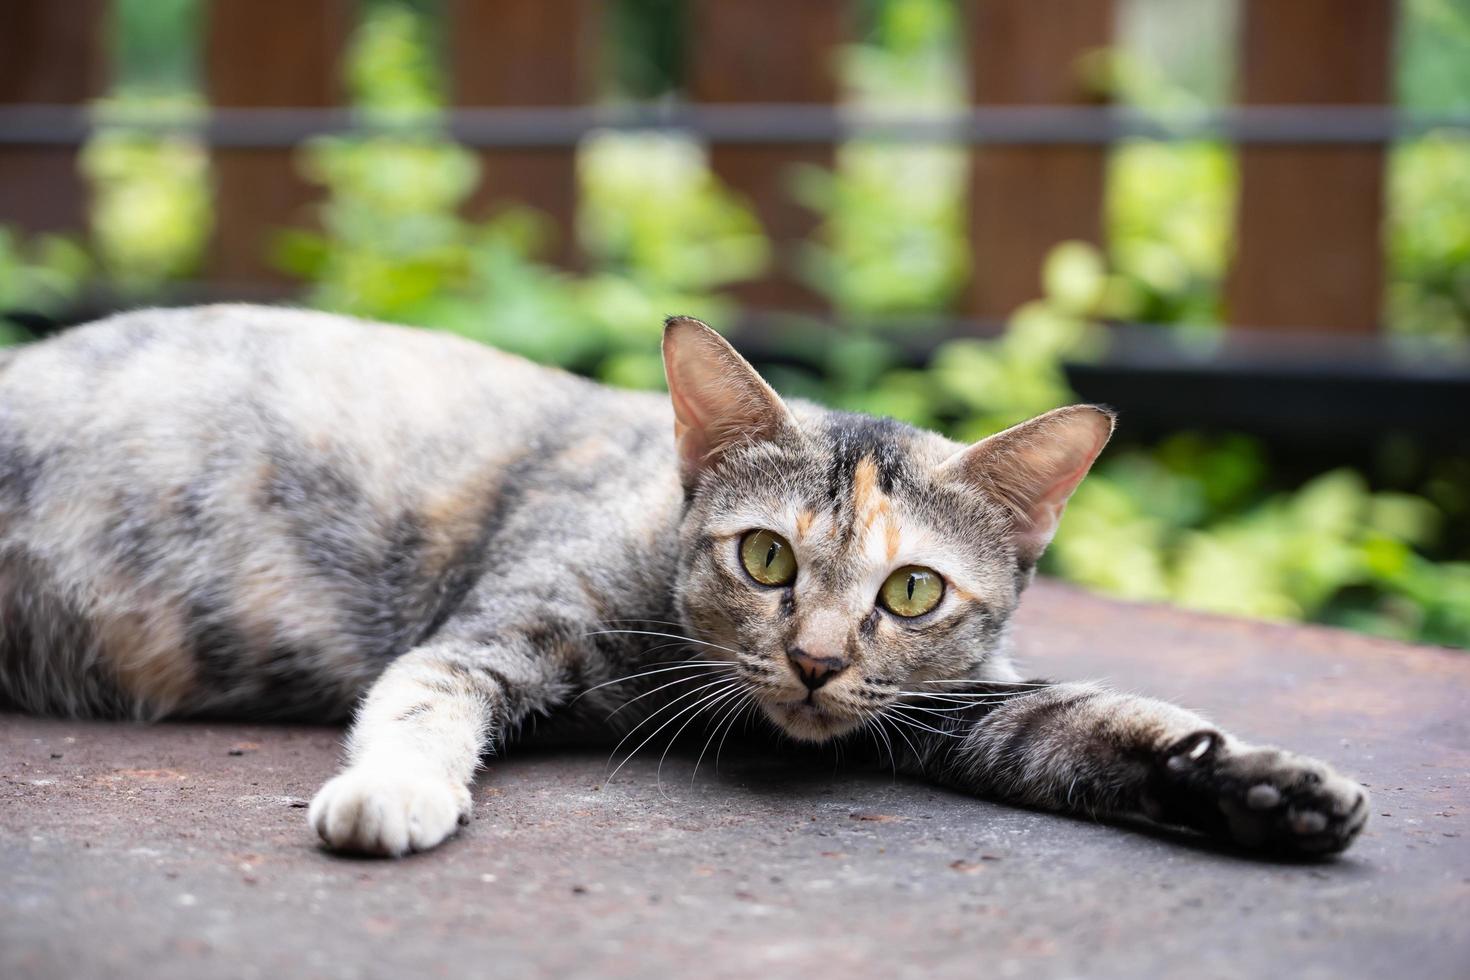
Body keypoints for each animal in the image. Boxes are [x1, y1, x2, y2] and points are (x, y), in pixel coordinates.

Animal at [0, 307, 1364, 858]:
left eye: (913, 593)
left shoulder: (947, 703)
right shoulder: (491, 629)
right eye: (765, 555)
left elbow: (1087, 722)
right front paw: (391, 790)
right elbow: (423, 700)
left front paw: (1263, 787)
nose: (815, 658)